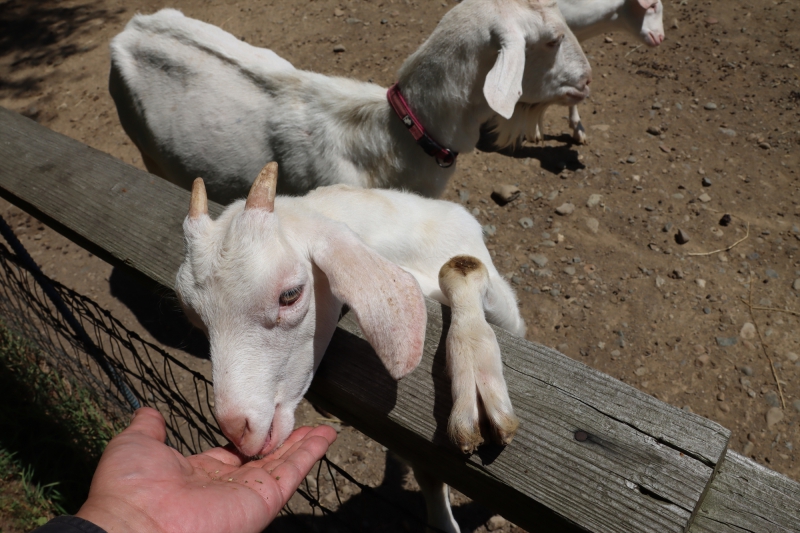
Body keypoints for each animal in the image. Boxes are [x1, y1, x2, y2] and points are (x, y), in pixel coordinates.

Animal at [175, 162, 524, 532]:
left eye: (291, 295)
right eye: (196, 317)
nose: (237, 429)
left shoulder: (505, 309)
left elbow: (462, 266)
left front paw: (475, 388)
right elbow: (429, 476)